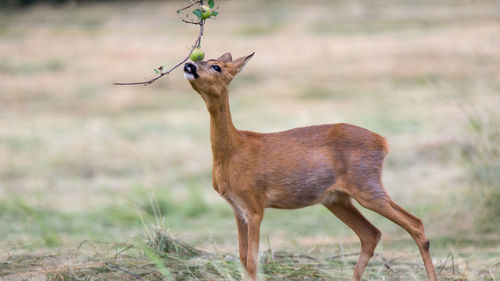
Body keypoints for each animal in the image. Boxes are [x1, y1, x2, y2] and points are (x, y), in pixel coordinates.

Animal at [184, 50, 438, 280]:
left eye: (216, 66)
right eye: (203, 58)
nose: (189, 65)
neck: (234, 150)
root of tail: (383, 142)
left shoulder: (255, 203)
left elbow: (253, 261)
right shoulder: (237, 207)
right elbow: (242, 257)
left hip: (366, 185)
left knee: (415, 224)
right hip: (336, 198)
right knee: (371, 234)